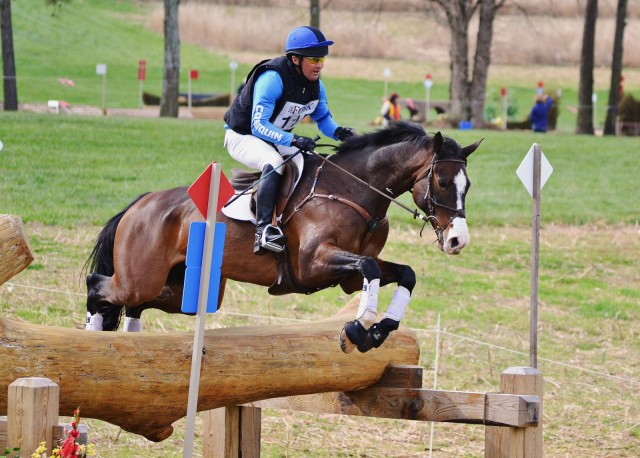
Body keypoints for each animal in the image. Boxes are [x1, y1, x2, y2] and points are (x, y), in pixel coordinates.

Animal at [85, 121, 480, 354]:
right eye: (443, 181)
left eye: (468, 185)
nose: (458, 241)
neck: (354, 190)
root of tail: (140, 204)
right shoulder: (313, 263)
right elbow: (369, 267)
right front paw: (356, 330)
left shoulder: (350, 279)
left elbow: (402, 274)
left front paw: (378, 331)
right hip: (141, 277)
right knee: (98, 285)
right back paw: (92, 335)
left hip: (180, 289)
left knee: (136, 304)